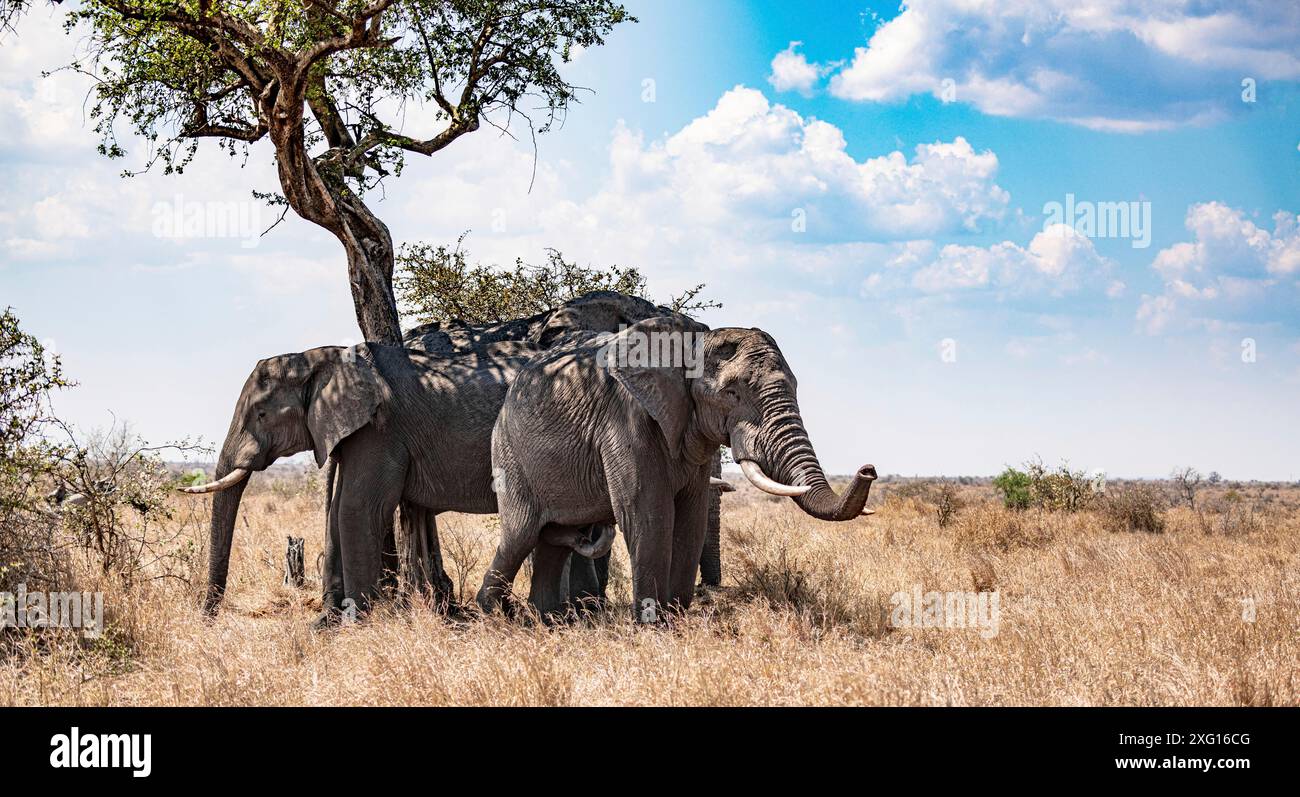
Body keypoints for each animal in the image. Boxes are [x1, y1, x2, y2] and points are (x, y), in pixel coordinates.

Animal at [182, 288, 717, 618]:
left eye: (260, 415)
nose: (209, 616)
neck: (322, 355)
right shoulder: (359, 433)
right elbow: (341, 507)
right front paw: (329, 624)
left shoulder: (380, 430)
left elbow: (357, 507)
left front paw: (356, 623)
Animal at [473, 313, 878, 618]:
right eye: (732, 393)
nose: (869, 470)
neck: (693, 341)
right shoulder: (625, 420)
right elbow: (649, 515)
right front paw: (653, 626)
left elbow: (691, 517)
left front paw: (676, 620)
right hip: (509, 454)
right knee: (521, 534)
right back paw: (495, 616)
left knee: (553, 537)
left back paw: (548, 620)